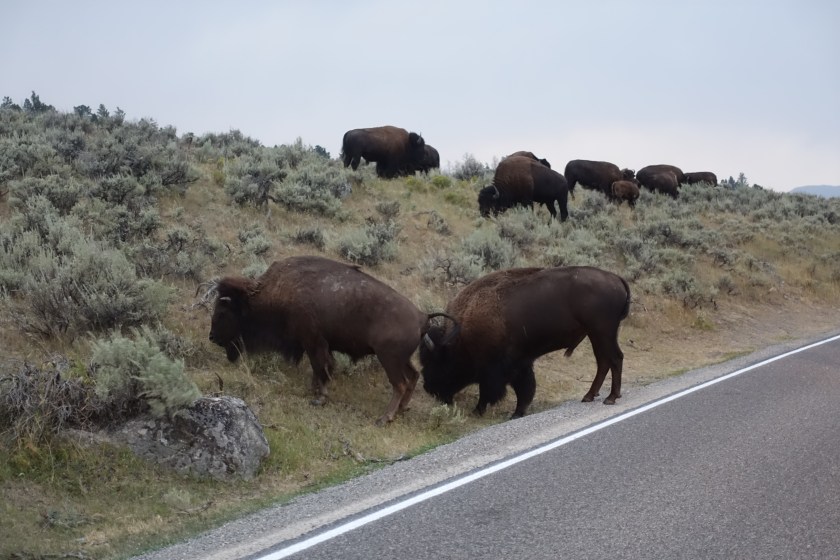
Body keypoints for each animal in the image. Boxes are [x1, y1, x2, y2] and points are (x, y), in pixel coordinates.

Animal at [208, 255, 454, 425]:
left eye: (222, 312)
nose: (212, 337)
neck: (279, 291)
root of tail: (422, 316)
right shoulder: (316, 344)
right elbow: (320, 369)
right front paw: (314, 390)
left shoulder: (314, 341)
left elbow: (322, 367)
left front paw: (320, 397)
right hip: (402, 359)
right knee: (413, 376)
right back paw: (401, 410)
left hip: (389, 358)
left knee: (400, 384)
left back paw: (385, 418)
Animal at [419, 266, 631, 418]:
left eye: (436, 362)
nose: (428, 387)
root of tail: (616, 278)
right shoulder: (521, 363)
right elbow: (525, 389)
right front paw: (518, 412)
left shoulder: (496, 369)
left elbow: (492, 391)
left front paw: (480, 411)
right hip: (597, 334)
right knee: (604, 361)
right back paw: (589, 396)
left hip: (602, 332)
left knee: (615, 358)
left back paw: (610, 398)